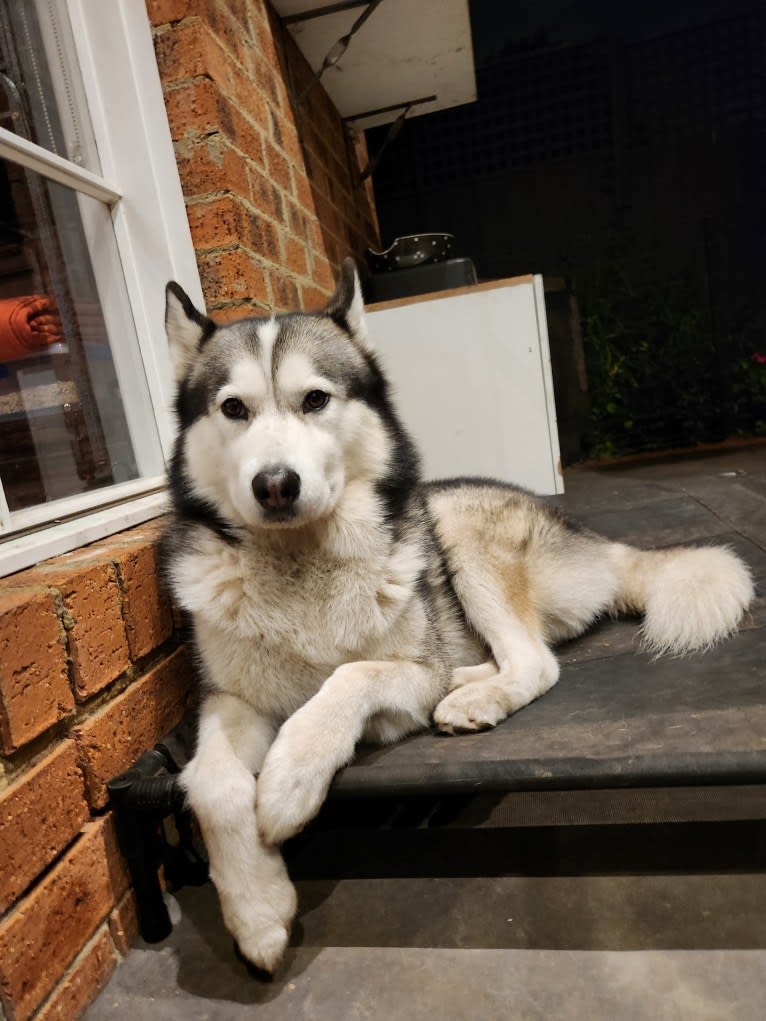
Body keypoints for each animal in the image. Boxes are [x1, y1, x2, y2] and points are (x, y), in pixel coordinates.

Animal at [163, 261, 755, 971]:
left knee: (536, 662)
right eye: (233, 408)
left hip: (459, 529)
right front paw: (255, 912)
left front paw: (288, 781)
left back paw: (476, 696)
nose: (275, 484)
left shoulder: (405, 676)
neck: (302, 570)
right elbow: (208, 780)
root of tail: (591, 536)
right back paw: (470, 681)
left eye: (315, 400)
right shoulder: (232, 699)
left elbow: (351, 676)